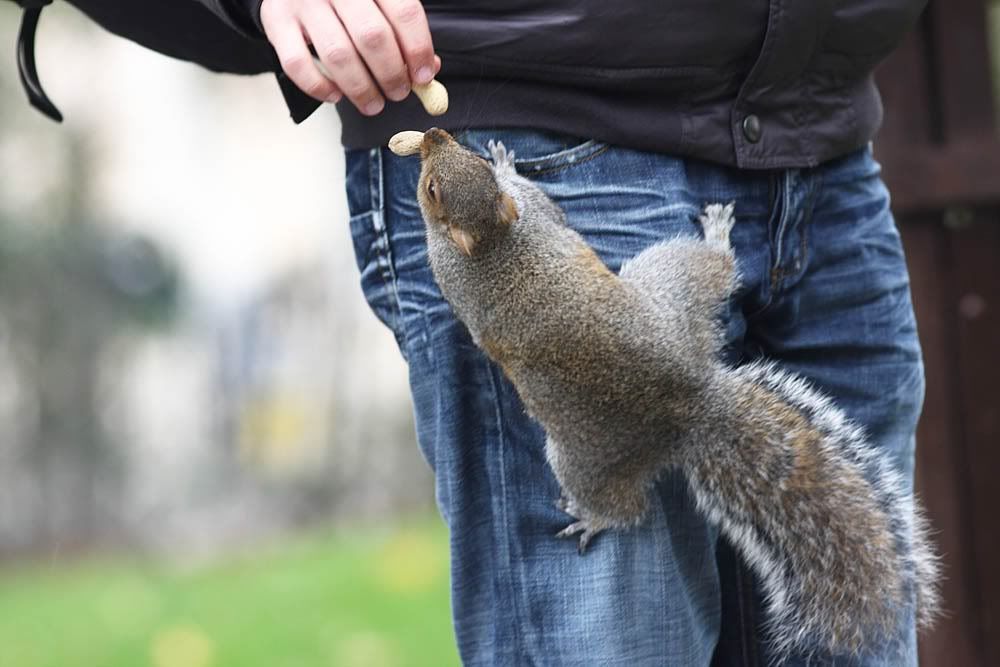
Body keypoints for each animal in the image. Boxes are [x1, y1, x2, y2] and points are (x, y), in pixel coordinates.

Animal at [404, 127, 940, 658]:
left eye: (435, 186)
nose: (433, 134)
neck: (493, 241)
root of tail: (692, 405)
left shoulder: (508, 228)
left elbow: (539, 201)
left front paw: (507, 161)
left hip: (650, 312)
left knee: (630, 510)